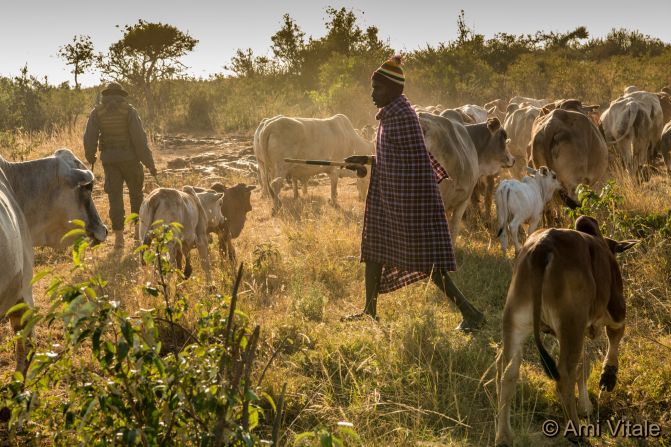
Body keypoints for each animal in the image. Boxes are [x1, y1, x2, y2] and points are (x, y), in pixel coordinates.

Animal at [496, 215, 636, 446]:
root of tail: (544, 246)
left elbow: (584, 363)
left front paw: (586, 405)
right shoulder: (615, 308)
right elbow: (614, 336)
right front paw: (608, 376)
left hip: (516, 319)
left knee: (507, 370)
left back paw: (504, 435)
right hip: (572, 322)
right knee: (564, 375)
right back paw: (576, 433)